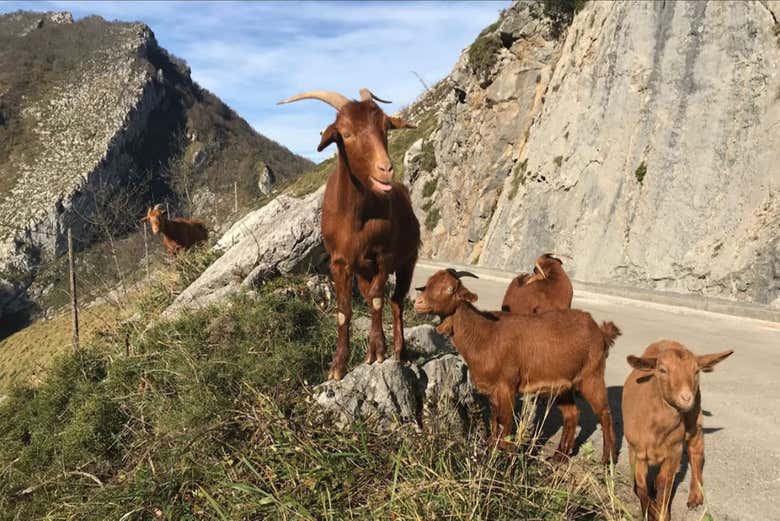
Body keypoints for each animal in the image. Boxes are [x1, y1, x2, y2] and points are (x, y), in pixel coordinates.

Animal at [279, 88, 420, 380]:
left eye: (385, 127)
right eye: (345, 133)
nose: (385, 169)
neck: (356, 218)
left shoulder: (384, 257)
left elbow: (378, 299)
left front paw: (377, 351)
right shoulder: (340, 262)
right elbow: (344, 312)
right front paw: (338, 365)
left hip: (408, 261)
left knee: (395, 301)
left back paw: (399, 351)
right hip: (363, 271)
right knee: (376, 298)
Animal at [414, 269, 620, 462]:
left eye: (450, 289)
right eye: (428, 283)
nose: (418, 303)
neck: (484, 335)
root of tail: (600, 331)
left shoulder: (507, 386)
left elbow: (505, 422)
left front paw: (501, 456)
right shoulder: (493, 390)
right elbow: (495, 421)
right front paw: (492, 451)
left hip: (592, 375)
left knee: (604, 413)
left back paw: (607, 459)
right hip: (563, 384)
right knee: (572, 414)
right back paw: (559, 457)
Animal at [622, 340, 733, 521]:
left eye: (696, 371)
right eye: (662, 370)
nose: (686, 398)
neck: (656, 430)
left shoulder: (674, 451)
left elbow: (664, 482)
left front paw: (661, 513)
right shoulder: (636, 450)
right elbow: (640, 486)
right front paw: (650, 510)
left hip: (695, 419)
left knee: (696, 452)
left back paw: (695, 497)